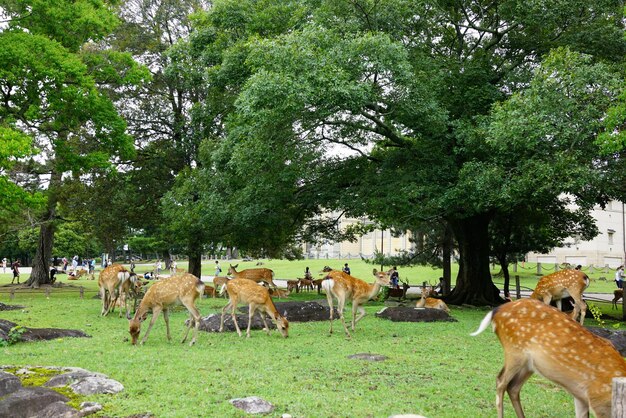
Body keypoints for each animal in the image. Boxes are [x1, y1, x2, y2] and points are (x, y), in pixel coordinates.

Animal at [468, 298, 624, 418]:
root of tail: (496, 311)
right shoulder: (599, 400)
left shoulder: (581, 397)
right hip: (514, 351)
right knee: (501, 381)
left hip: (529, 364)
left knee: (513, 386)